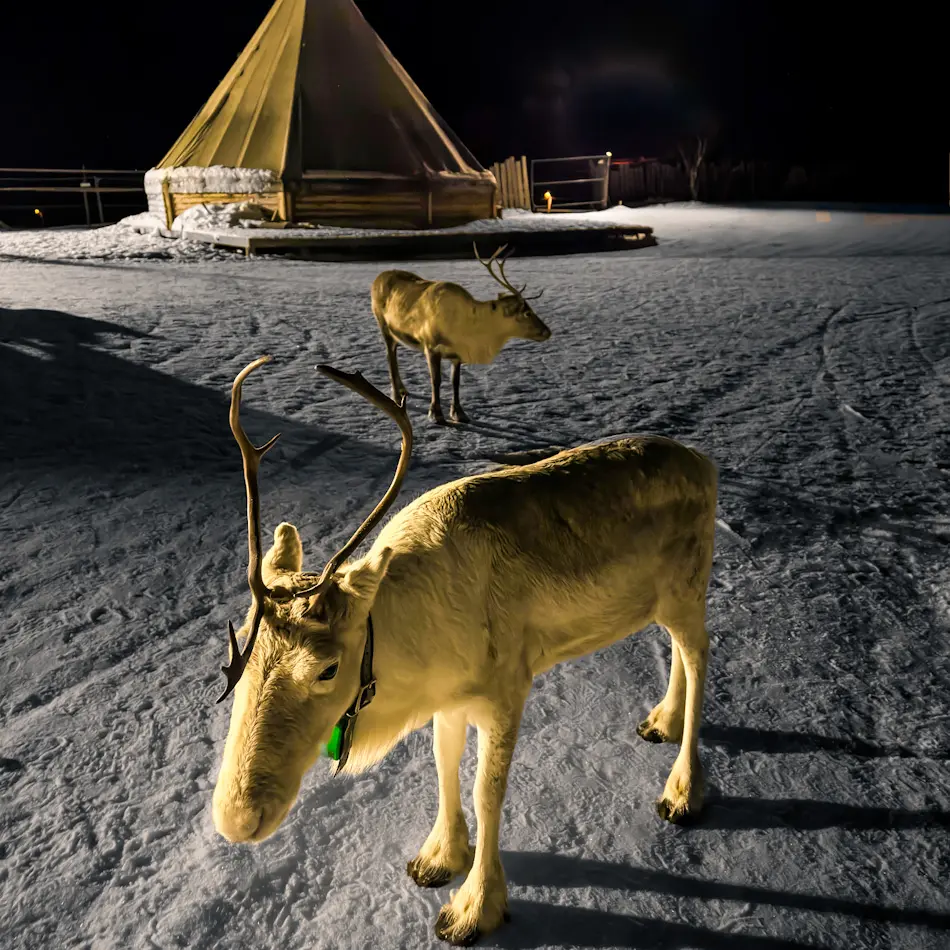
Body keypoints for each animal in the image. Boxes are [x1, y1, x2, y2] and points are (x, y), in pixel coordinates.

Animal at [212, 356, 718, 946]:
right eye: (239, 662)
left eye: (327, 668)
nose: (236, 820)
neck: (407, 636)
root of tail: (705, 463)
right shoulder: (448, 699)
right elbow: (443, 764)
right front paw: (438, 857)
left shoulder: (507, 692)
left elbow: (486, 792)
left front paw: (475, 907)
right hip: (661, 601)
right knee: (678, 651)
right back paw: (662, 721)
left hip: (688, 588)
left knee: (700, 655)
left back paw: (683, 791)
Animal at [370, 243, 551, 426]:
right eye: (526, 312)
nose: (547, 332)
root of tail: (377, 278)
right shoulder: (430, 346)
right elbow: (436, 380)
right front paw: (436, 414)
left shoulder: (457, 353)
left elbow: (455, 381)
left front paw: (459, 413)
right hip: (383, 324)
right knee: (390, 356)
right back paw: (396, 395)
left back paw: (403, 390)